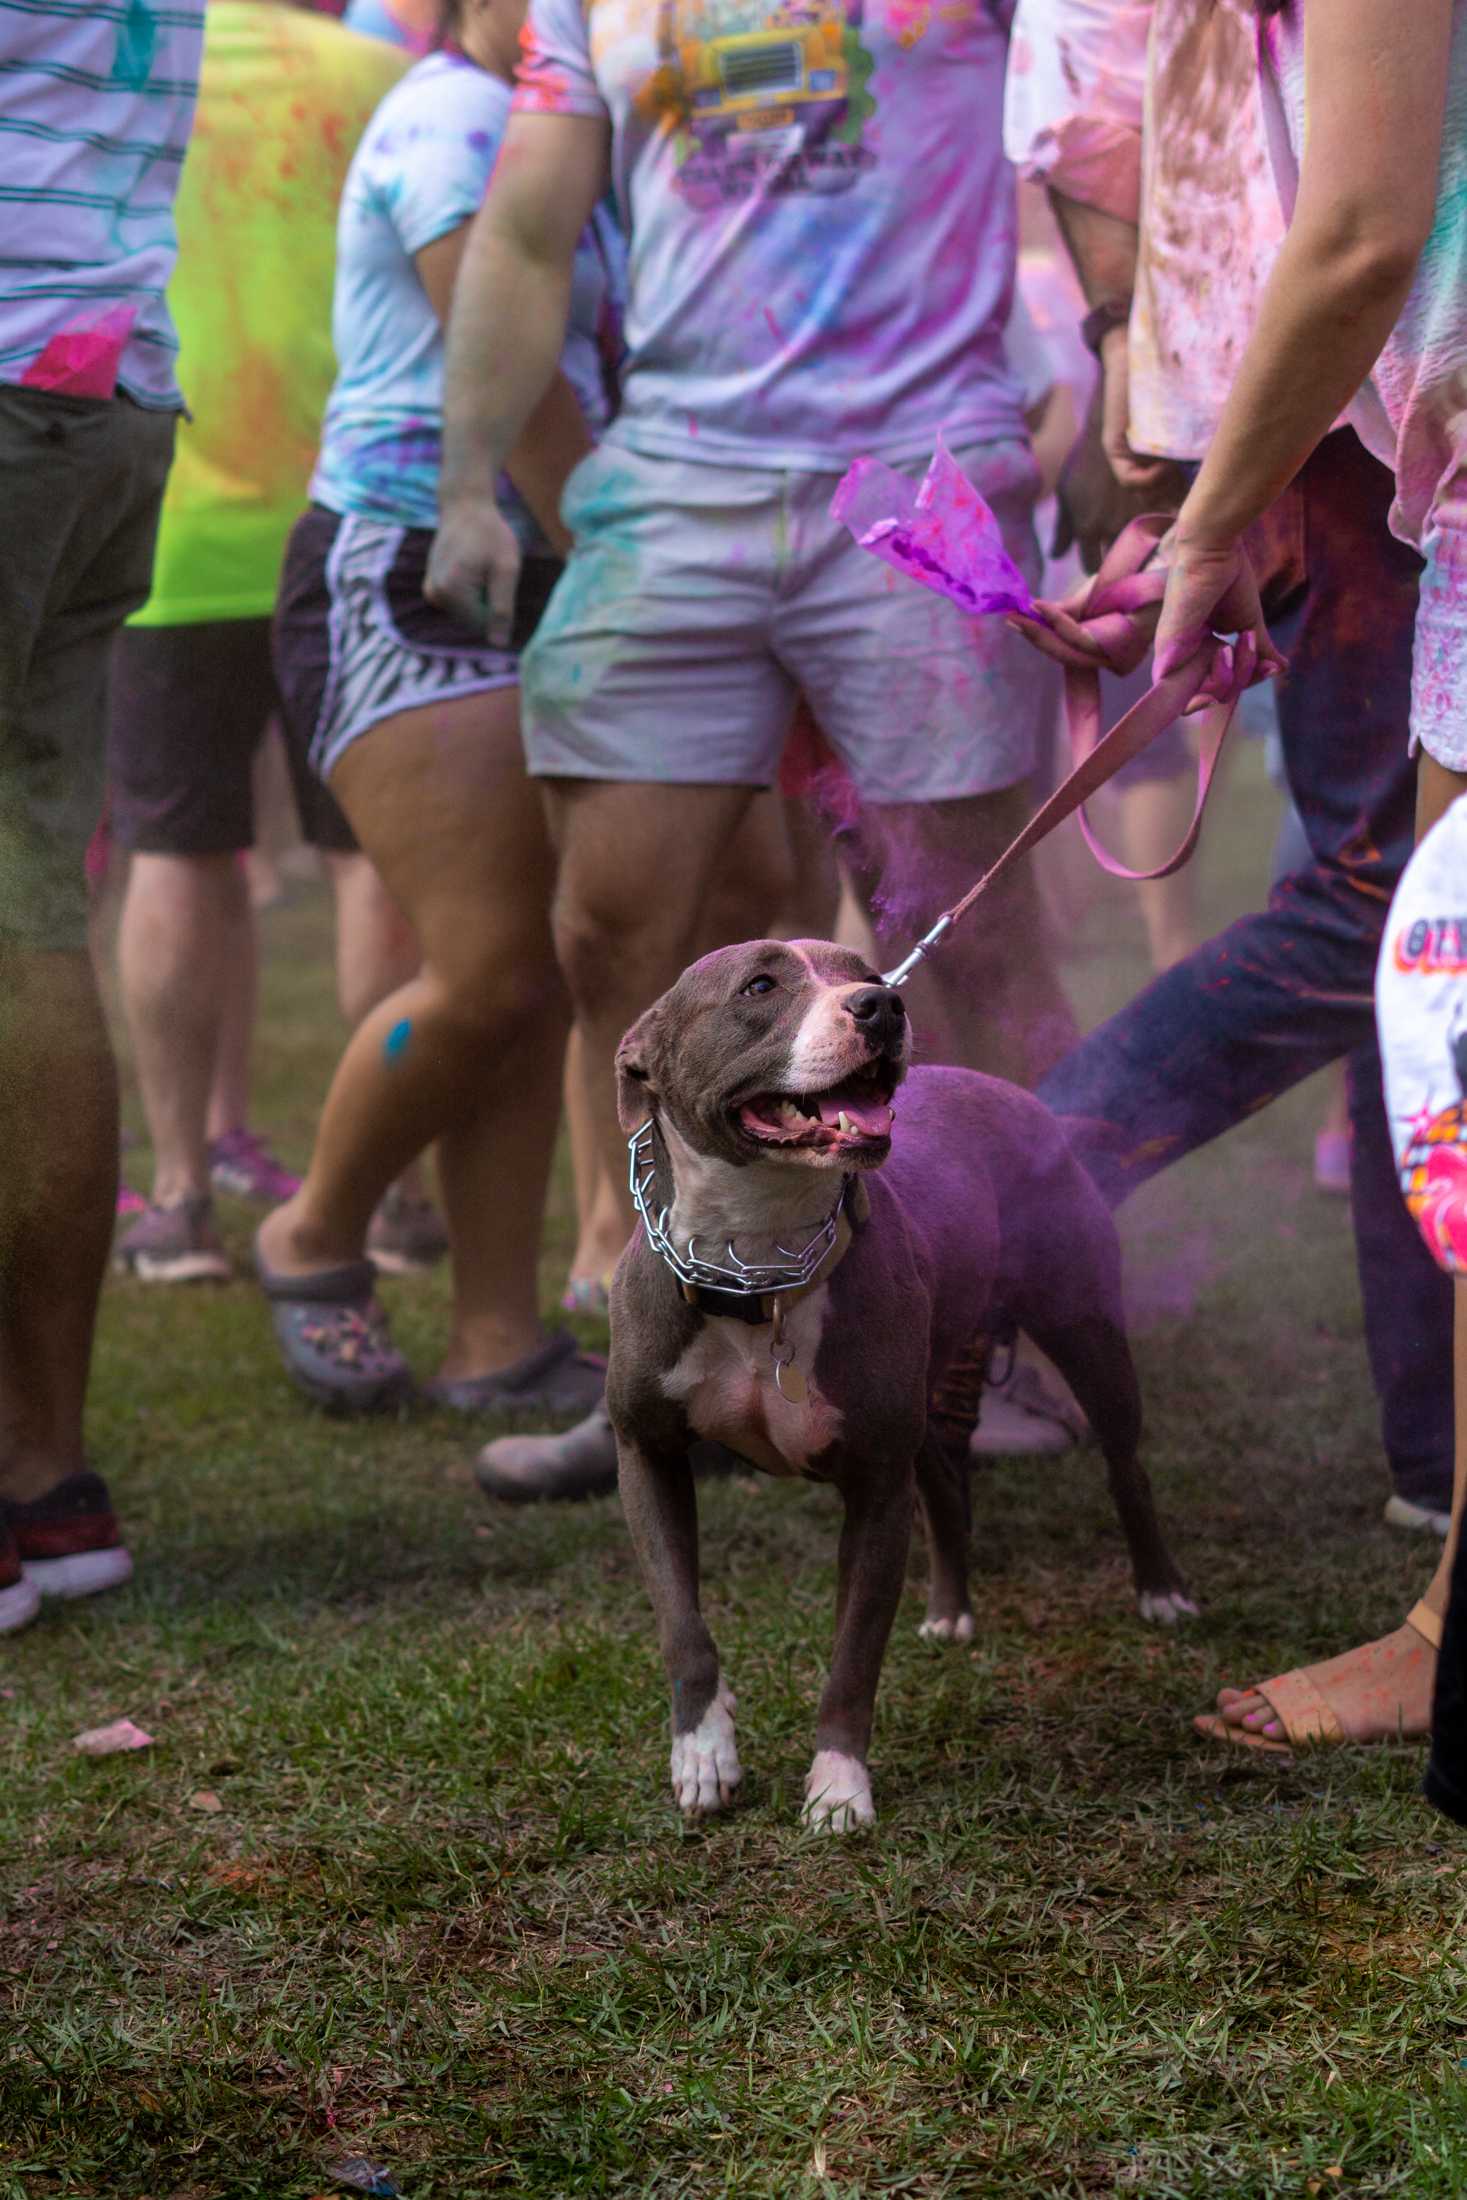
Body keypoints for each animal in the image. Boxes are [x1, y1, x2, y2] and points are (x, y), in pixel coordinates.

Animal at [607, 937, 1196, 1830]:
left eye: (865, 970)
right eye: (758, 985)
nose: (881, 1004)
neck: (756, 1262)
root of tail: (1020, 1098)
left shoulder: (875, 1489)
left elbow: (853, 1654)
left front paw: (838, 1786)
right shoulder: (647, 1454)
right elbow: (682, 1623)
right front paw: (703, 1753)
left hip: (1084, 1330)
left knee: (1124, 1463)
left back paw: (1159, 1590)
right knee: (948, 1485)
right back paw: (949, 1610)